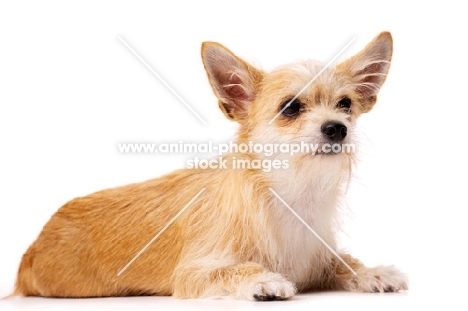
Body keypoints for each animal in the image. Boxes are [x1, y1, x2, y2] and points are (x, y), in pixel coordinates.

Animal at [12, 31, 408, 300]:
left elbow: (343, 261)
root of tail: (28, 254)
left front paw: (372, 272)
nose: (337, 128)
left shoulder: (320, 258)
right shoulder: (192, 273)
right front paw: (261, 279)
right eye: (290, 107)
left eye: (346, 105)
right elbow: (232, 270)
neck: (290, 194)